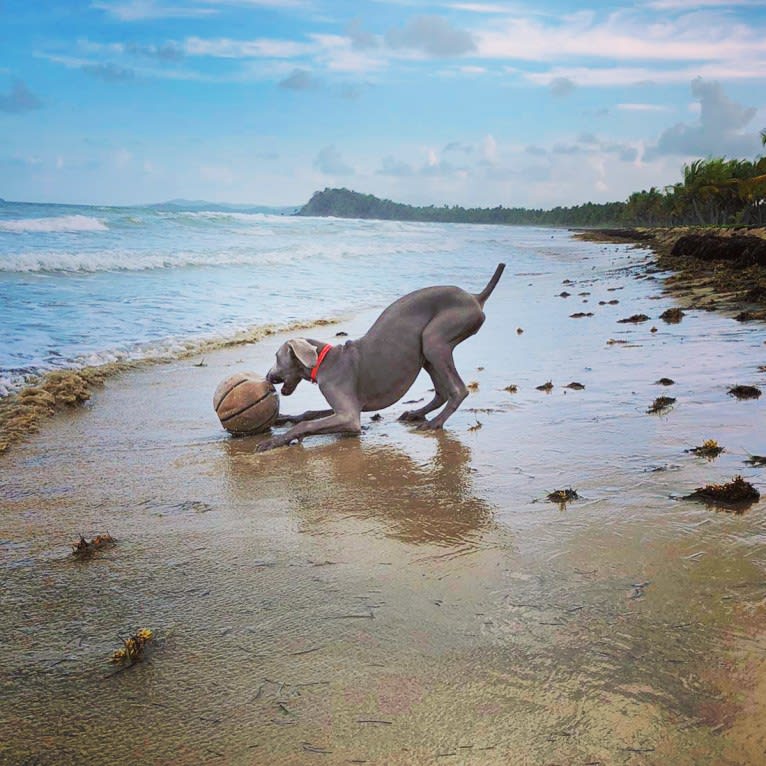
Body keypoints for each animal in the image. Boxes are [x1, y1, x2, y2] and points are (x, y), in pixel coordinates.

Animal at [260, 266, 508, 452]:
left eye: (276, 357)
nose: (268, 376)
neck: (326, 360)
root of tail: (475, 297)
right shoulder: (347, 407)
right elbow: (309, 414)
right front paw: (283, 418)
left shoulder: (349, 416)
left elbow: (308, 423)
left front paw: (273, 441)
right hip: (427, 352)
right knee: (441, 392)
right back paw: (415, 413)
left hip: (435, 339)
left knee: (458, 390)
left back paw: (434, 422)